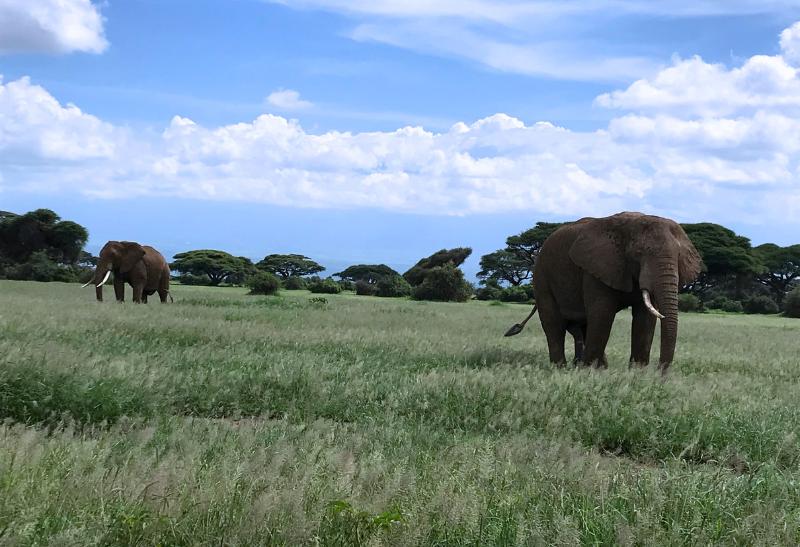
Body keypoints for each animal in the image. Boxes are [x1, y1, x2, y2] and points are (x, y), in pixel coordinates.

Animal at [506, 212, 700, 374]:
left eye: (679, 256)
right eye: (638, 253)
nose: (660, 373)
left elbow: (644, 319)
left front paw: (637, 374)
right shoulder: (595, 268)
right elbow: (602, 313)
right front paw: (589, 373)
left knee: (581, 325)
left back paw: (592, 366)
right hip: (542, 276)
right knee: (554, 324)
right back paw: (561, 369)